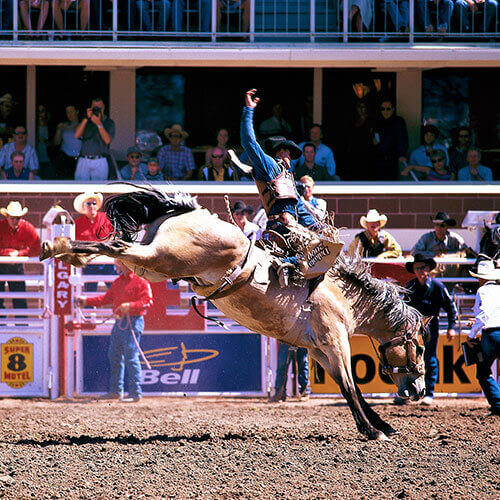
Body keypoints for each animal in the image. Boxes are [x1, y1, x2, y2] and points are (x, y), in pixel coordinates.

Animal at [42, 185, 426, 442]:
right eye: (420, 348)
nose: (419, 389)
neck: (340, 296)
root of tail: (188, 211)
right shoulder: (334, 342)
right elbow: (349, 387)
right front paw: (373, 431)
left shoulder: (319, 350)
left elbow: (353, 389)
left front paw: (384, 425)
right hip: (159, 257)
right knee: (116, 245)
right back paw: (58, 246)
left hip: (151, 265)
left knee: (114, 247)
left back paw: (62, 249)